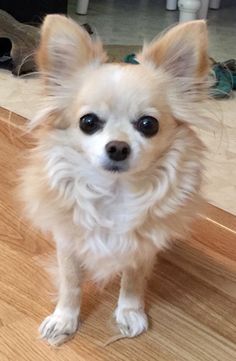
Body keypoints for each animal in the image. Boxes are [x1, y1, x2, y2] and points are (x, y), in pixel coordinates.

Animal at [19, 15, 210, 344]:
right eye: (88, 122)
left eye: (148, 124)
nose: (118, 147)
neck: (115, 192)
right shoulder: (68, 242)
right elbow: (71, 283)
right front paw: (64, 319)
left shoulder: (142, 248)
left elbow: (133, 281)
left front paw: (129, 312)